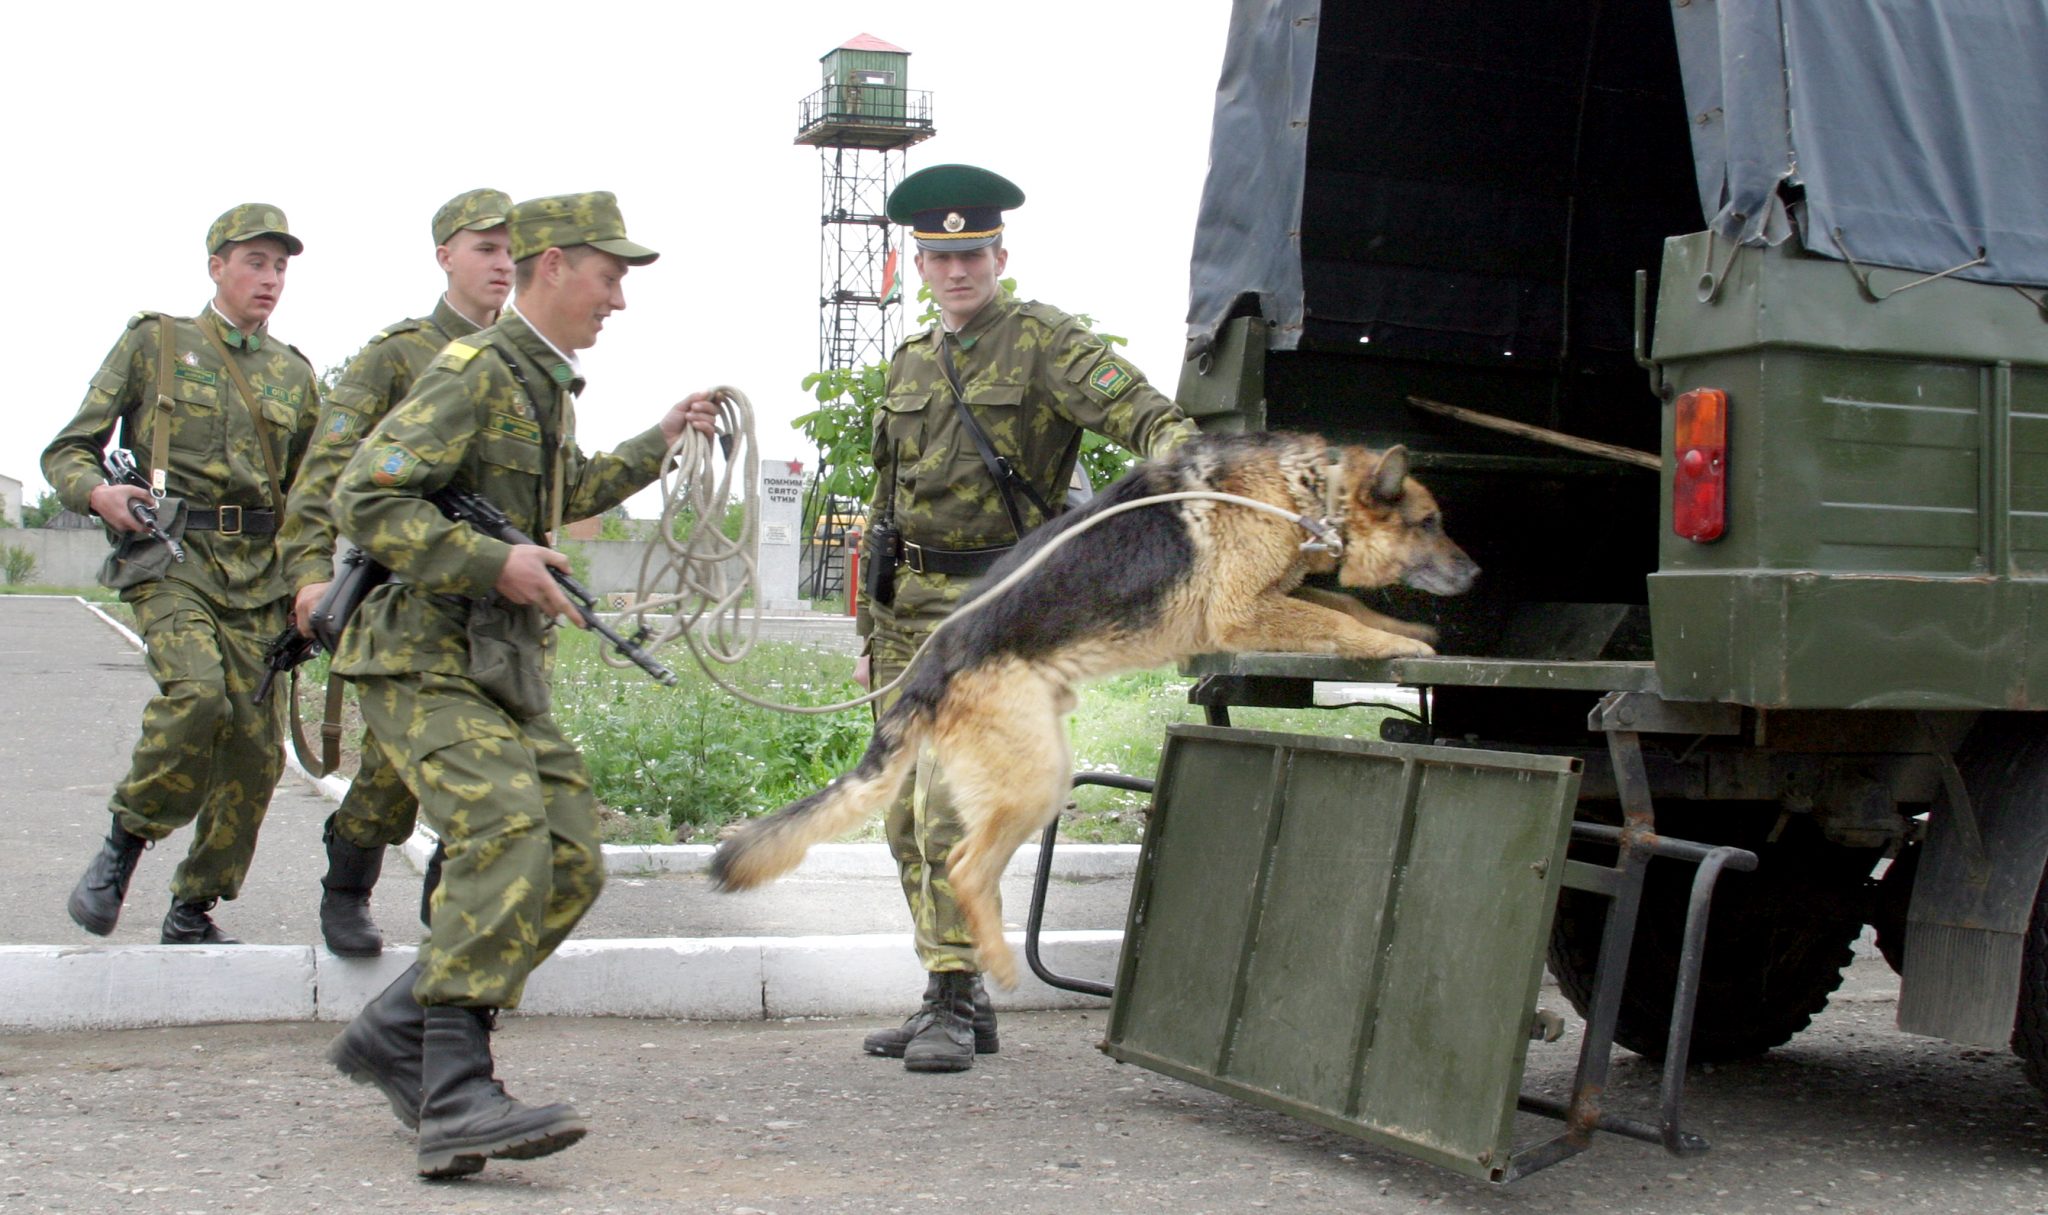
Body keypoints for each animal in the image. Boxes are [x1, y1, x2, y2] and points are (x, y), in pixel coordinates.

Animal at [712, 430, 1482, 979]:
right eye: (1429, 522)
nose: (1477, 573)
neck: (1308, 489)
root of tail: (930, 665)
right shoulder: (1241, 613)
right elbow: (1339, 618)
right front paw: (1400, 644)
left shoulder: (1277, 596)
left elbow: (1343, 603)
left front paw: (1410, 631)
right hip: (1036, 777)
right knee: (962, 865)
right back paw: (998, 963)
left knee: (966, 865)